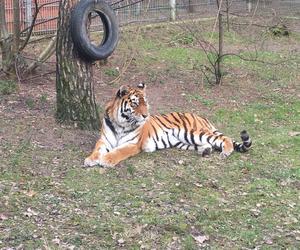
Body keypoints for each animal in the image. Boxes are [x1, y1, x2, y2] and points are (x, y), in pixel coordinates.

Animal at [83, 82, 252, 168]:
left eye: (145, 103)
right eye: (135, 103)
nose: (146, 115)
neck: (120, 123)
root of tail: (201, 117)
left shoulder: (132, 144)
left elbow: (118, 152)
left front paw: (106, 160)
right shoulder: (104, 140)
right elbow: (97, 150)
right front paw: (91, 159)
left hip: (193, 132)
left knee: (225, 139)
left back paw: (225, 152)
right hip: (184, 141)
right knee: (210, 144)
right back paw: (205, 151)